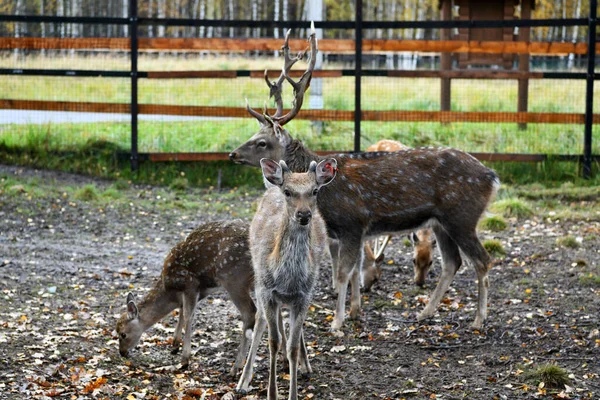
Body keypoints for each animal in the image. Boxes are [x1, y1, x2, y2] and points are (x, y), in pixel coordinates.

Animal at [115, 219, 255, 376]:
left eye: (123, 334)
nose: (122, 352)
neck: (169, 289)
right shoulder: (199, 292)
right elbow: (182, 311)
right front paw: (175, 345)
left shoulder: (190, 283)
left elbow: (188, 315)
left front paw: (185, 359)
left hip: (234, 279)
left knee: (250, 313)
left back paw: (236, 367)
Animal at [231, 25, 502, 332]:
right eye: (254, 135)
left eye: (262, 142)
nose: (232, 154)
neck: (325, 195)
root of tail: (492, 177)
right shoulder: (353, 232)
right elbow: (354, 271)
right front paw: (355, 311)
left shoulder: (352, 223)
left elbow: (342, 273)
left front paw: (337, 322)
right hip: (441, 222)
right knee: (452, 262)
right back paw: (425, 313)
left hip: (462, 217)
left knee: (482, 260)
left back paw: (479, 319)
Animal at [236, 158, 338, 398]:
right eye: (288, 192)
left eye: (315, 190)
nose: (304, 215)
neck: (286, 279)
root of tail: (271, 186)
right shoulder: (267, 291)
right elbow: (272, 341)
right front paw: (271, 393)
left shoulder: (304, 295)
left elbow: (292, 345)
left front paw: (293, 390)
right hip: (259, 284)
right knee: (261, 322)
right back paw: (243, 380)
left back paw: (305, 365)